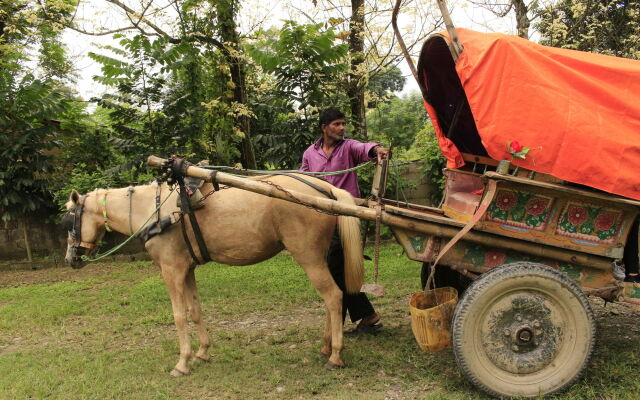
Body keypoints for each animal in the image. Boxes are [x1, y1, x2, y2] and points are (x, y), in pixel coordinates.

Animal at [65, 174, 368, 376]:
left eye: (68, 221)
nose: (71, 259)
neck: (153, 210)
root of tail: (325, 188)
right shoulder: (187, 269)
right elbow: (196, 311)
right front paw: (202, 352)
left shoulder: (171, 270)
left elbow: (179, 316)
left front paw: (183, 362)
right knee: (332, 298)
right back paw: (326, 346)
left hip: (307, 254)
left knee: (333, 295)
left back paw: (335, 354)